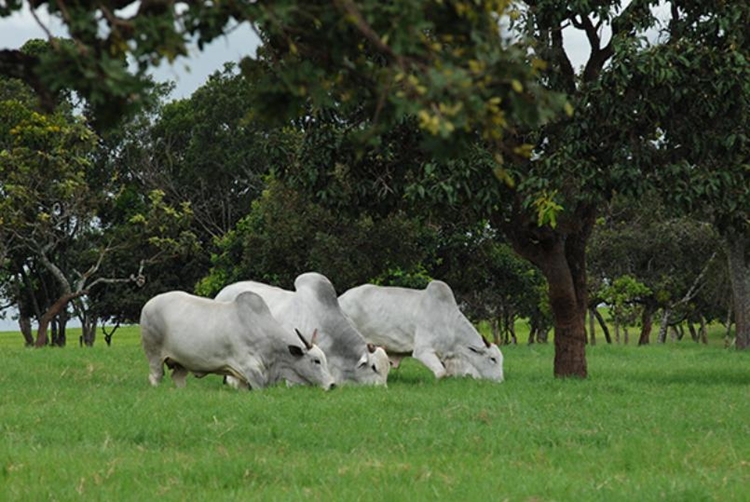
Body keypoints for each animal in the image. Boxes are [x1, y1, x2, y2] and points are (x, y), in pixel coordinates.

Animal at [139, 290, 338, 392]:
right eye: (316, 361)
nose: (332, 384)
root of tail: (149, 303)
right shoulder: (250, 370)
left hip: (181, 363)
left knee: (177, 378)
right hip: (154, 354)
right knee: (155, 376)